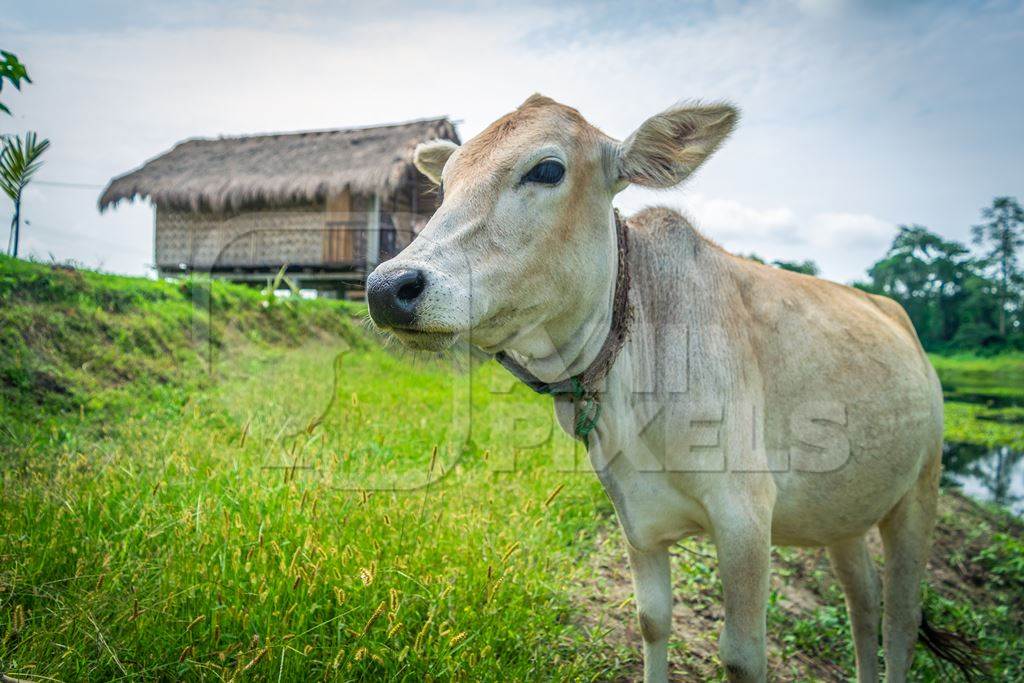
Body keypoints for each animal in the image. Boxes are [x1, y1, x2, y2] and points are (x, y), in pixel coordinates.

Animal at [364, 93, 970, 679]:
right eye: (445, 185)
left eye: (548, 169)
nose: (388, 287)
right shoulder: (637, 516)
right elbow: (652, 622)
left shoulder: (747, 517)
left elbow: (742, 655)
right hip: (845, 515)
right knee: (863, 603)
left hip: (920, 490)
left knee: (899, 620)